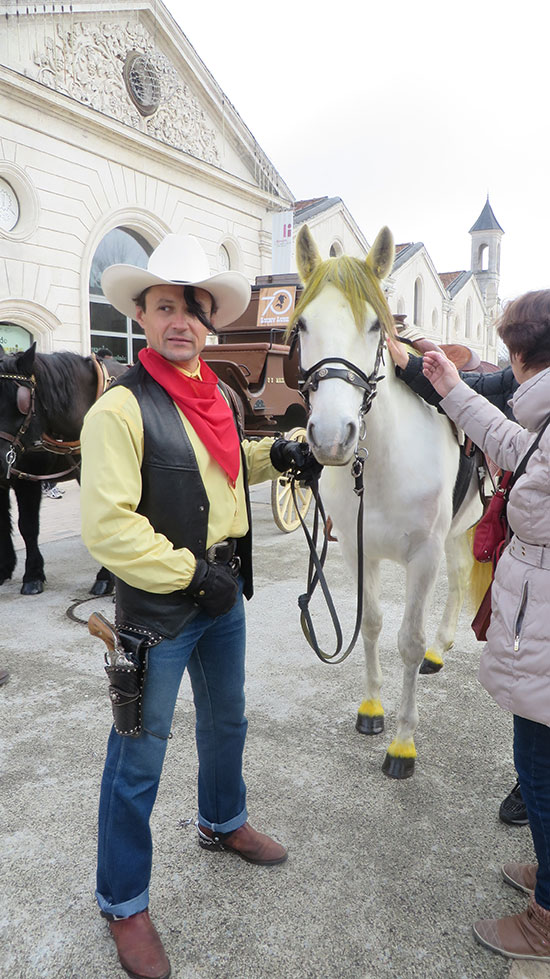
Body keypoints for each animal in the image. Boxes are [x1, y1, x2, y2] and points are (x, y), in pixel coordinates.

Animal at [294, 224, 484, 780]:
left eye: (377, 325)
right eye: (303, 324)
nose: (331, 437)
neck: (379, 467)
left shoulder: (422, 556)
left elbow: (406, 640)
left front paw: (402, 743)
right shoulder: (360, 552)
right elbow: (373, 625)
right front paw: (373, 708)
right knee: (460, 576)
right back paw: (442, 649)